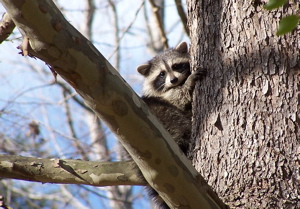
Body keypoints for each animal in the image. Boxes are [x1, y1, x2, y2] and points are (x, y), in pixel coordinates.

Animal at [136, 41, 206, 208]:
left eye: (176, 66)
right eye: (162, 74)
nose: (174, 80)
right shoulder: (164, 97)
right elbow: (178, 98)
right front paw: (188, 84)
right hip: (167, 121)